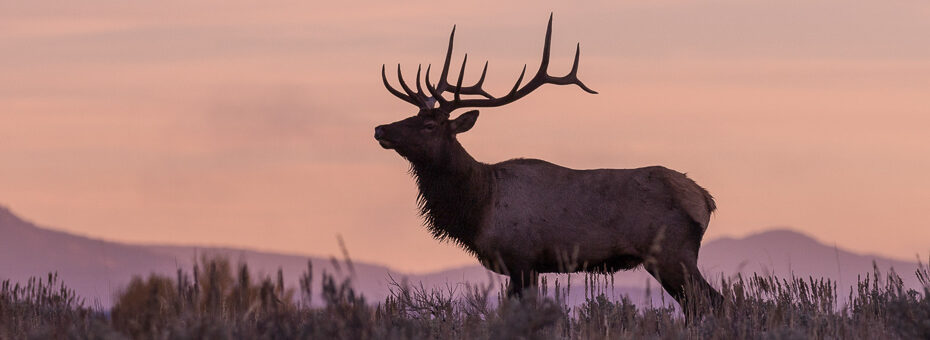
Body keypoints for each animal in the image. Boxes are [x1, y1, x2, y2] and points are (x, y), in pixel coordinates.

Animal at [374, 16, 720, 314]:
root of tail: (706, 199)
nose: (380, 129)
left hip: (672, 253)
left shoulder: (522, 258)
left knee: (712, 302)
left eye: (430, 126)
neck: (479, 205)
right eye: (412, 116)